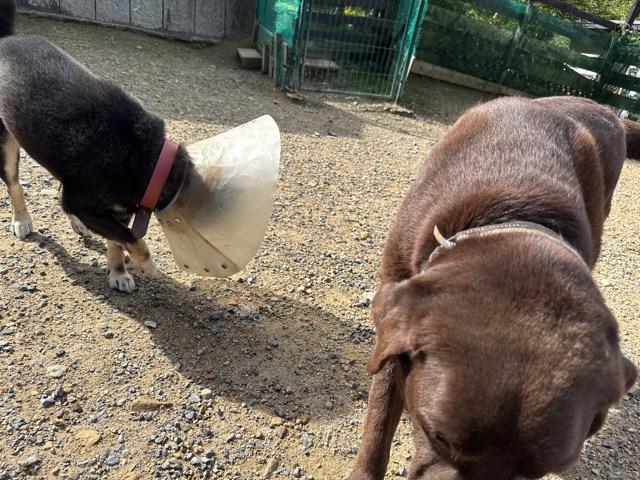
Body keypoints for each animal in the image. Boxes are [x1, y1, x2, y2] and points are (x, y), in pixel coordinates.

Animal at [0, 0, 192, 292]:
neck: (146, 157)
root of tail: (5, 40)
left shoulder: (117, 210)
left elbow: (118, 240)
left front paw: (118, 272)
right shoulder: (84, 202)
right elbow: (131, 239)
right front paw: (148, 266)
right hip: (6, 146)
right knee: (15, 184)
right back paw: (22, 219)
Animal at [349, 96, 639, 479]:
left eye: (537, 471)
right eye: (438, 437)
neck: (513, 208)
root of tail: (605, 108)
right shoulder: (397, 279)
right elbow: (379, 420)